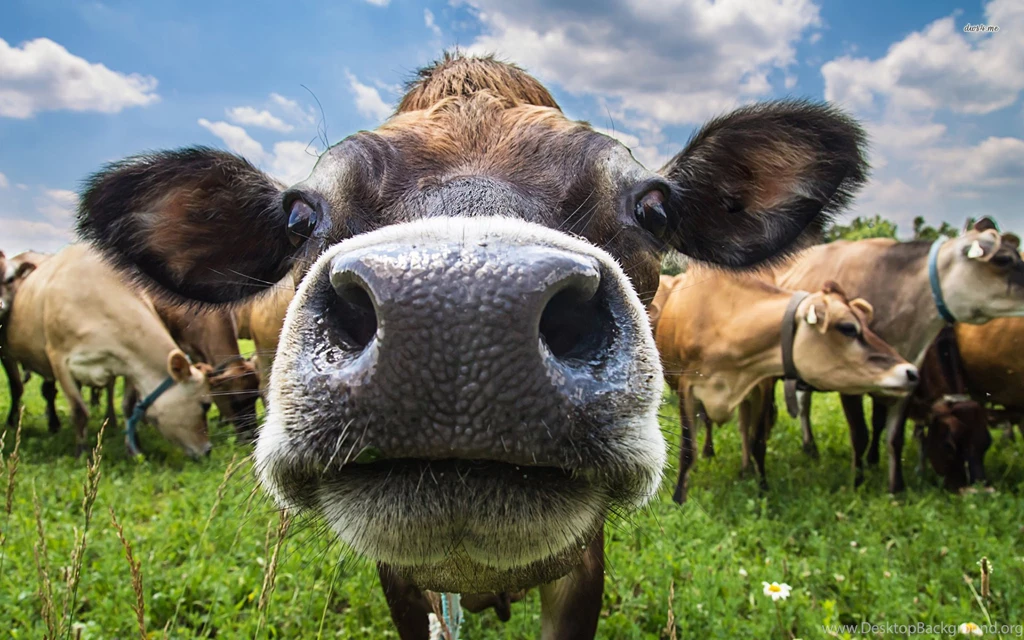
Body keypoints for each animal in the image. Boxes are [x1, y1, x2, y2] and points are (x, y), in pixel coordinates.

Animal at [3, 244, 213, 457]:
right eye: (205, 405)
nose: (208, 450)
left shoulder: (130, 364)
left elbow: (128, 407)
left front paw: (133, 449)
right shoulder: (59, 360)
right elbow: (79, 411)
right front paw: (81, 451)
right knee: (26, 388)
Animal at [654, 269, 917, 503]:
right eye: (848, 328)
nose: (911, 372)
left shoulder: (762, 386)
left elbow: (758, 441)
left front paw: (762, 488)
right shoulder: (686, 388)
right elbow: (688, 448)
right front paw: (679, 498)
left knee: (744, 428)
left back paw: (745, 469)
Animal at [775, 218, 1024, 493]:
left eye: (985, 443)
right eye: (1003, 259)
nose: (979, 491)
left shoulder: (907, 379)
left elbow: (893, 436)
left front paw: (895, 487)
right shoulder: (848, 383)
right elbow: (860, 434)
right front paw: (857, 481)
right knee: (803, 405)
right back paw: (810, 447)